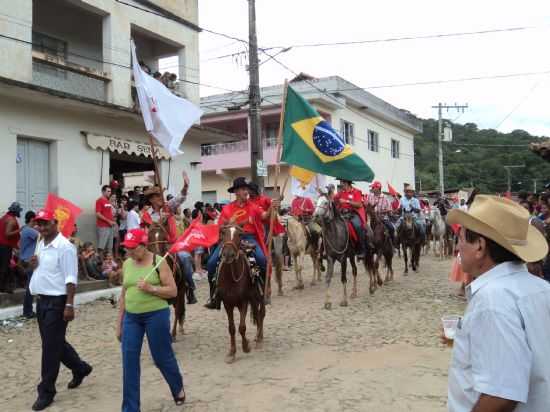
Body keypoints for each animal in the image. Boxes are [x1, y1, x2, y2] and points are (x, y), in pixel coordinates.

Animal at [218, 224, 266, 362]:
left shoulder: (243, 301)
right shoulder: (227, 304)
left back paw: (259, 338)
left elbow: (242, 327)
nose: (228, 254)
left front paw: (246, 347)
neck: (231, 278)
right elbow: (232, 328)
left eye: (240, 234)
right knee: (257, 314)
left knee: (261, 313)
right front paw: (232, 352)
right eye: (223, 233)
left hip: (259, 296)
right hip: (252, 300)